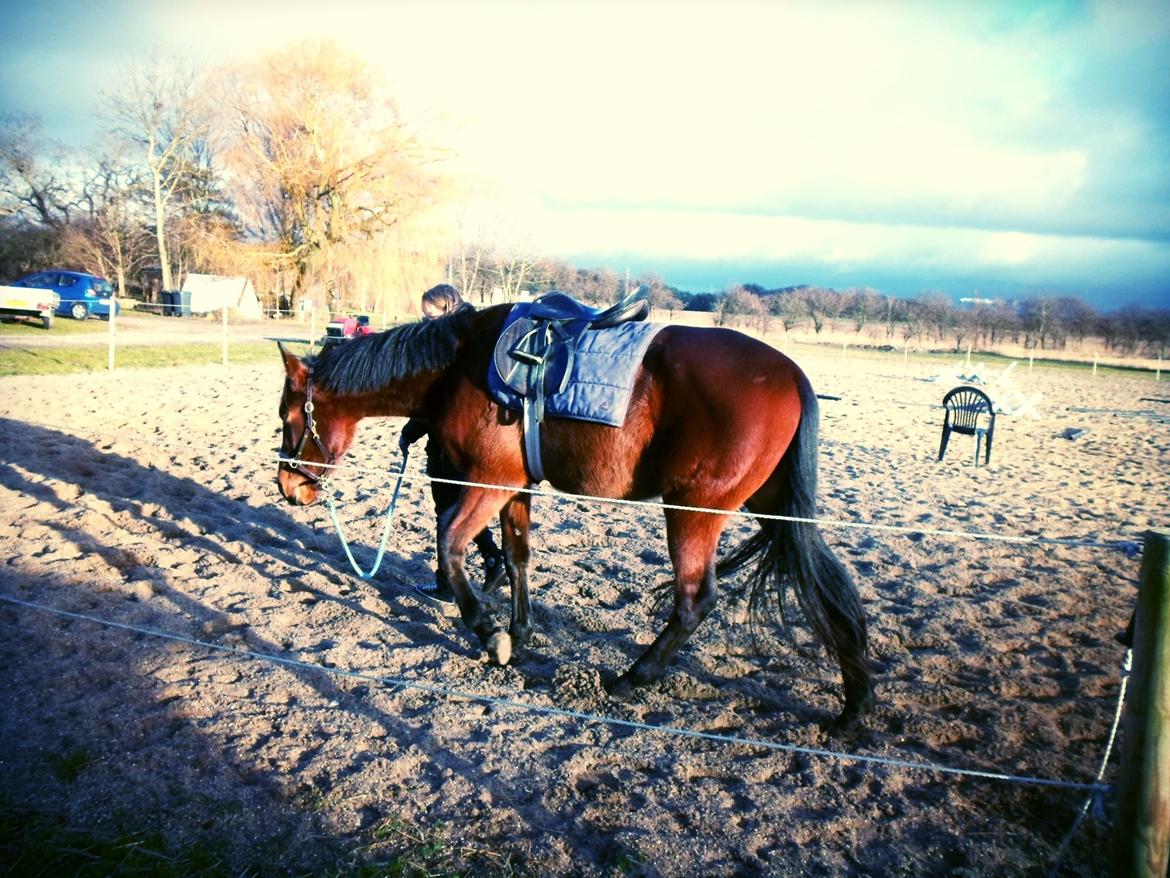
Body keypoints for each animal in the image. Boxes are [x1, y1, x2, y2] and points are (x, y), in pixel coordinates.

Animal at [278, 304, 875, 735]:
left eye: (288, 416)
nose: (288, 486)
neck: (459, 366)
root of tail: (793, 375)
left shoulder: (487, 483)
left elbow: (449, 548)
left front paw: (489, 633)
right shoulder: (514, 486)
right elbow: (516, 556)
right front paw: (519, 632)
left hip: (694, 512)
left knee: (694, 600)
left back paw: (633, 679)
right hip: (771, 509)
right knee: (825, 587)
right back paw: (854, 705)